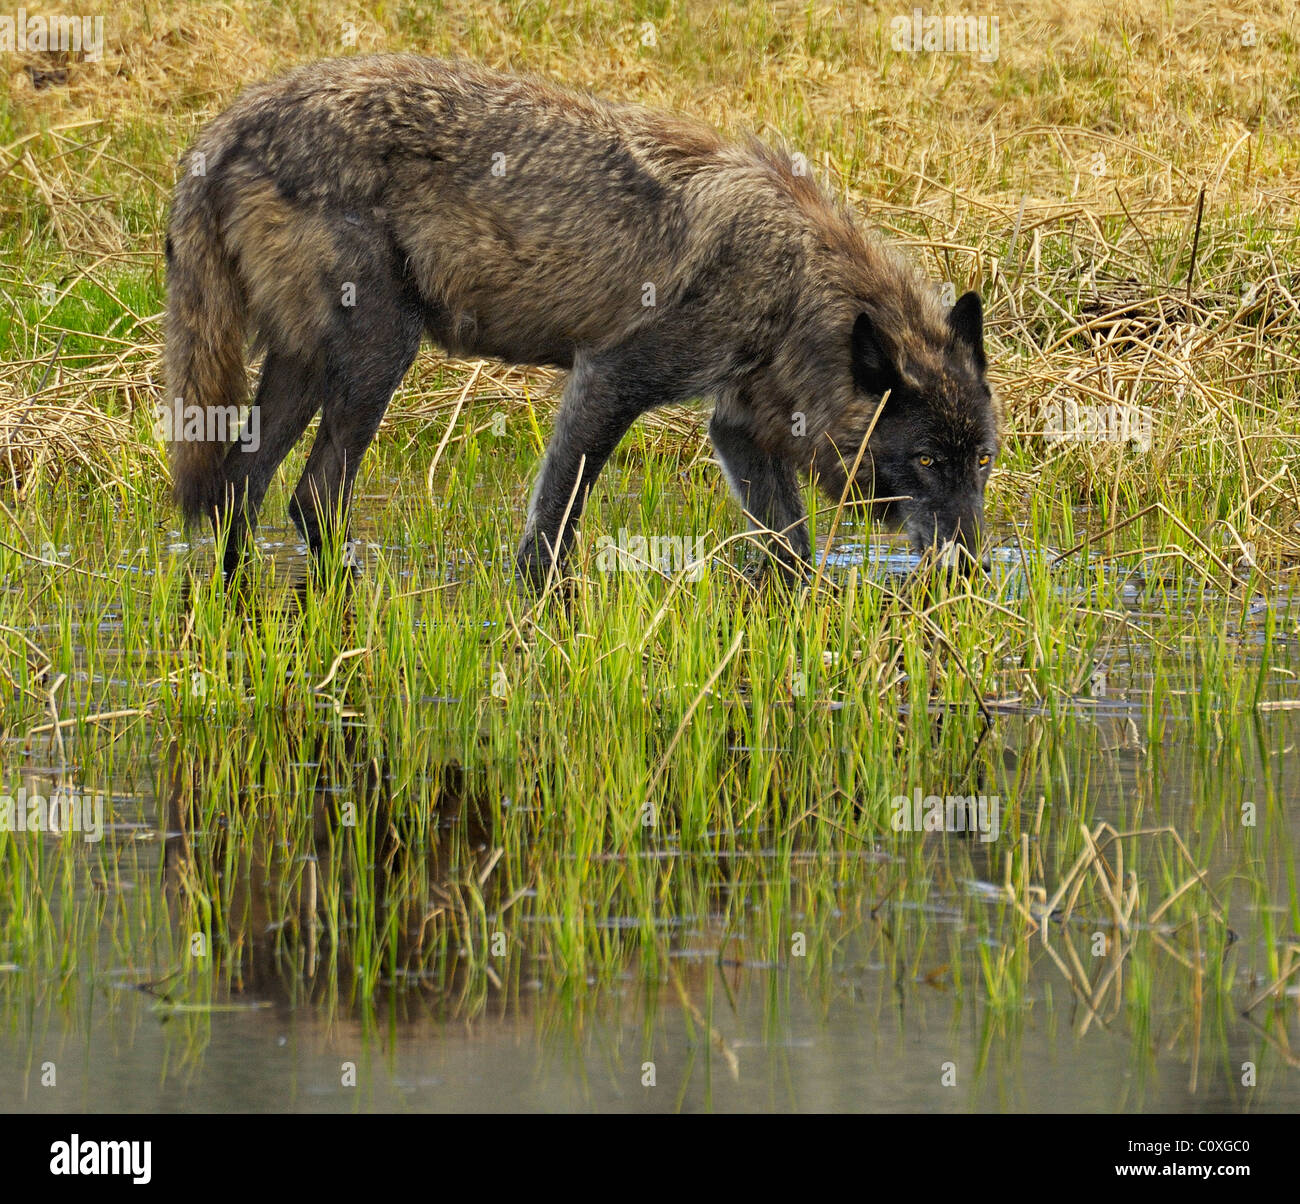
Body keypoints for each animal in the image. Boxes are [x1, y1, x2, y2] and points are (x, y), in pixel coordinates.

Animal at [164, 55, 998, 584]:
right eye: (927, 461)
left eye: (982, 462)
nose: (973, 569)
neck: (792, 274)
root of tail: (228, 126)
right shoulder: (607, 382)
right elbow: (548, 534)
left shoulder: (736, 428)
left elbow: (790, 552)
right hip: (378, 358)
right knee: (312, 502)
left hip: (303, 372)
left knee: (240, 492)